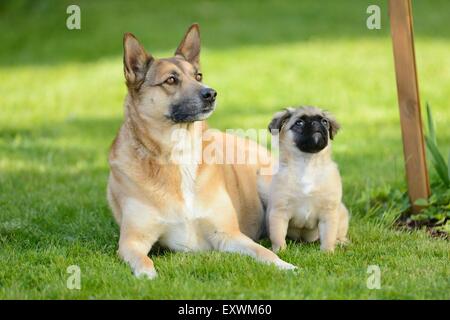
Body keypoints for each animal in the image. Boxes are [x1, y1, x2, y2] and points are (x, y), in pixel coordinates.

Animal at [106, 23, 296, 278]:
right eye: (171, 80)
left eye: (198, 76)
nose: (211, 93)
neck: (179, 152)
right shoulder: (132, 241)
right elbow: (142, 260)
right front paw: (149, 277)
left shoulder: (228, 235)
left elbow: (263, 252)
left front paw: (286, 265)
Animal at [266, 106, 350, 251]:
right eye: (299, 123)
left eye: (325, 122)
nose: (317, 123)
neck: (307, 163)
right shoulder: (279, 212)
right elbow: (278, 236)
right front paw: (280, 251)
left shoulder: (328, 213)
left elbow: (329, 236)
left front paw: (327, 252)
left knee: (339, 234)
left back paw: (341, 241)